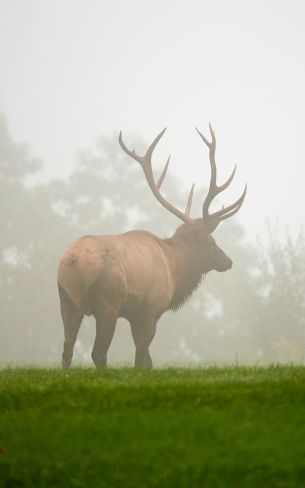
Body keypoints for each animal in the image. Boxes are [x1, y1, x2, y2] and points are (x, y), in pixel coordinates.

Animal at [57, 124, 245, 368]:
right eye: (210, 242)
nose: (228, 261)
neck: (174, 271)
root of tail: (73, 261)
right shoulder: (149, 311)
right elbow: (142, 359)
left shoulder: (137, 315)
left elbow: (147, 360)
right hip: (107, 303)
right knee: (98, 353)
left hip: (67, 300)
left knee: (67, 350)